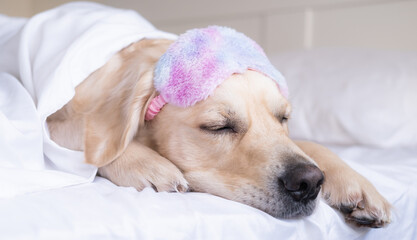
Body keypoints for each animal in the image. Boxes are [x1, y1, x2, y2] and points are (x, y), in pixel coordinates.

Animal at [45, 4, 390, 227]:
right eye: (218, 127)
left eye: (283, 118)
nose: (309, 182)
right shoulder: (55, 120)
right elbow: (90, 140)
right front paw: (147, 164)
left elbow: (311, 145)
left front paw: (356, 183)